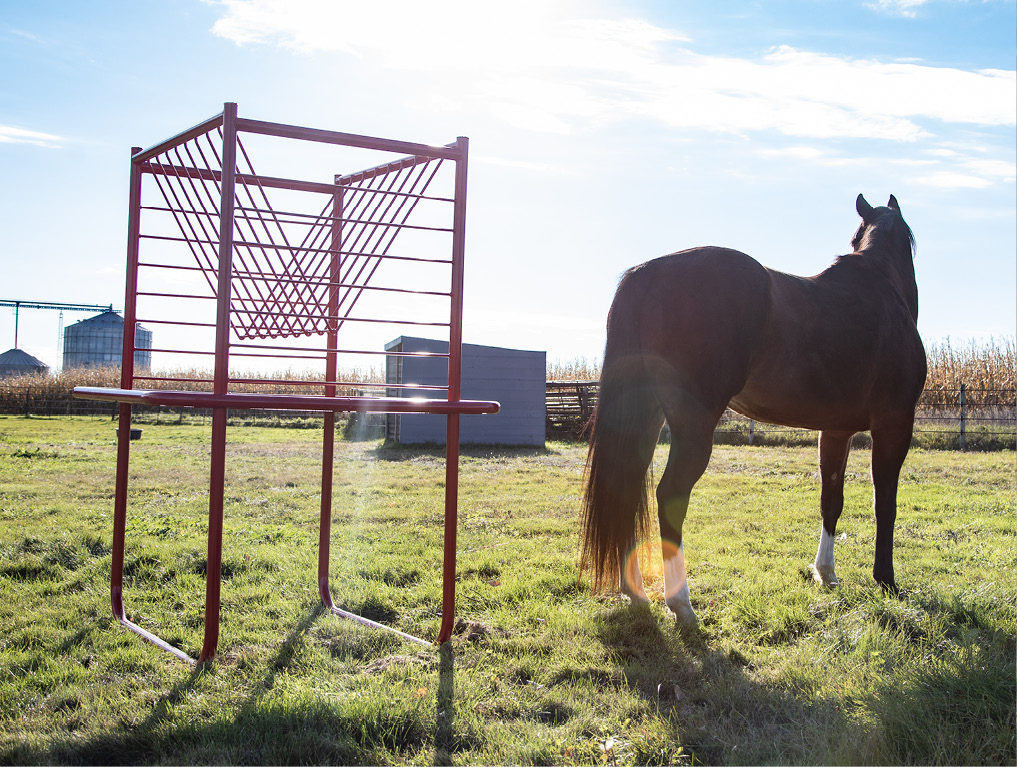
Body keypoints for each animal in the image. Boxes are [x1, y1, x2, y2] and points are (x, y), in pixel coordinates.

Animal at [581, 192, 923, 622]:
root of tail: (648, 274)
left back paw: (637, 593)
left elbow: (832, 500)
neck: (882, 290)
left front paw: (826, 573)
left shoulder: (835, 430)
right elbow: (885, 504)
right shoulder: (894, 425)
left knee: (626, 485)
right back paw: (682, 605)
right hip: (693, 424)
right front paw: (886, 580)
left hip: (644, 418)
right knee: (670, 496)